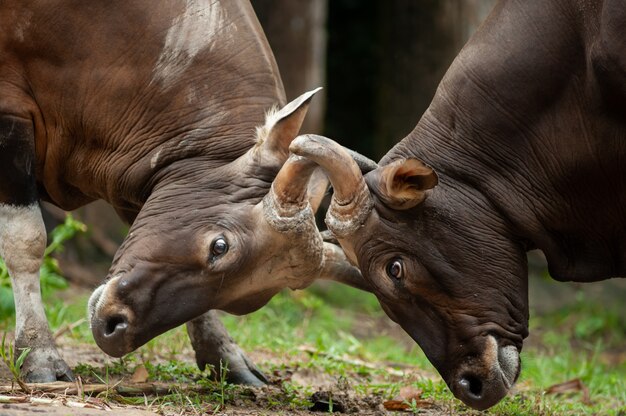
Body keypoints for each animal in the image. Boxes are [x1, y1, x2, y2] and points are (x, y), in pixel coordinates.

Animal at [0, 0, 360, 384]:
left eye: (241, 303)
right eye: (219, 246)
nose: (114, 330)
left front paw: (223, 353)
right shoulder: (10, 113)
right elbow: (27, 242)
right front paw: (39, 352)